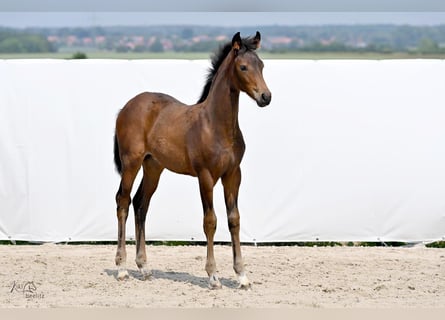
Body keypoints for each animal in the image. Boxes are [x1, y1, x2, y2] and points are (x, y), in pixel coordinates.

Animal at [112, 31, 270, 288]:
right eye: (243, 67)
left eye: (262, 65)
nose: (266, 96)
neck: (216, 126)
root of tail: (126, 107)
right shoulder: (205, 176)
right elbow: (210, 221)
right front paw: (213, 276)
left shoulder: (233, 174)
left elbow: (234, 219)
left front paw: (242, 275)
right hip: (131, 163)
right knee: (123, 201)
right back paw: (122, 268)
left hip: (153, 166)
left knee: (140, 204)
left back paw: (144, 267)